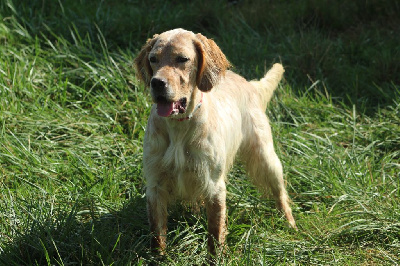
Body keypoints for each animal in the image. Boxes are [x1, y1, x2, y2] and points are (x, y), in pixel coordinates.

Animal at [134, 28, 296, 256]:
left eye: (182, 59)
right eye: (153, 59)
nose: (156, 83)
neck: (179, 127)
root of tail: (250, 84)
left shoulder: (214, 187)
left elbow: (215, 235)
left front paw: (217, 257)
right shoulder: (155, 185)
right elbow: (157, 236)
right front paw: (158, 258)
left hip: (266, 158)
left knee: (280, 193)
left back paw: (290, 223)